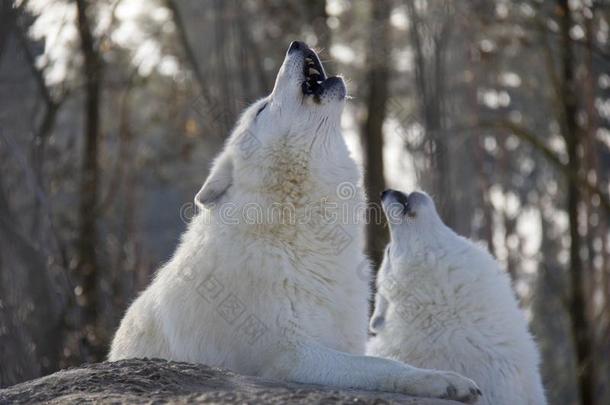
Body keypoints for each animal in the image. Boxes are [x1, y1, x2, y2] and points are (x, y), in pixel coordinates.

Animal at [108, 42, 480, 402]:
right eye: (261, 110)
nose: (296, 43)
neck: (298, 236)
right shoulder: (291, 356)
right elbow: (383, 364)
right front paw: (443, 380)